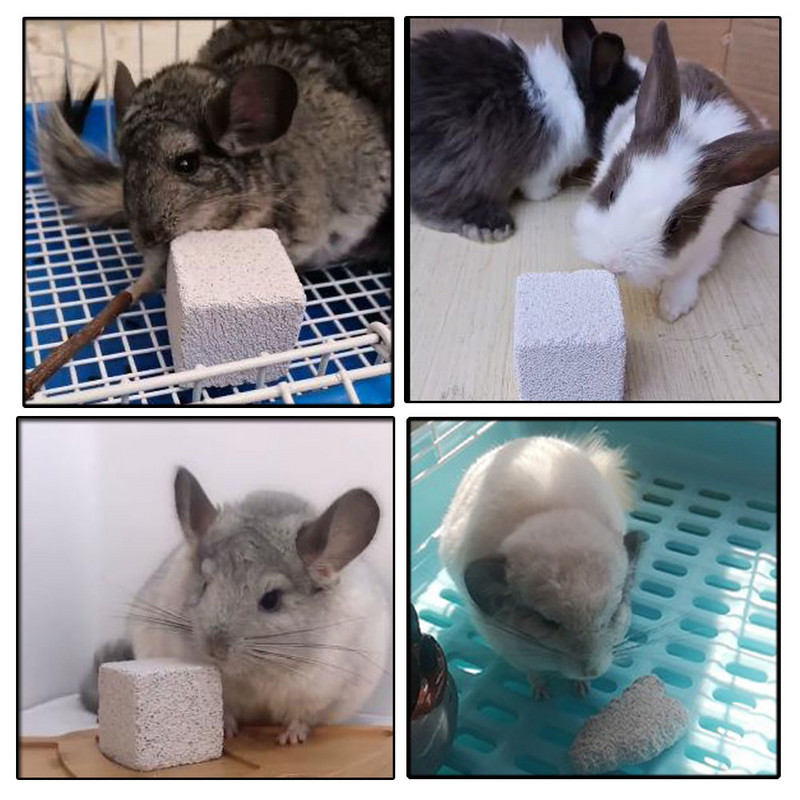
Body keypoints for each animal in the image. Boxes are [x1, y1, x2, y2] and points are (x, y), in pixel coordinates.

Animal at [84, 467, 390, 745]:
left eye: (271, 599)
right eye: (205, 584)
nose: (214, 649)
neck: (256, 674)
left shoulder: (324, 691)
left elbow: (302, 716)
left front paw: (291, 738)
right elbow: (226, 709)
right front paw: (227, 729)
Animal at [410, 18, 641, 241]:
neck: (579, 98)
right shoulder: (545, 164)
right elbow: (536, 187)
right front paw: (550, 192)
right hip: (461, 161)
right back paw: (491, 226)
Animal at [438, 434, 644, 698]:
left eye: (613, 614)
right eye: (547, 622)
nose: (593, 671)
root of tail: (524, 440)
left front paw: (582, 688)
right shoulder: (513, 652)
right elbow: (532, 672)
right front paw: (541, 694)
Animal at [574, 21, 780, 321]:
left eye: (675, 226)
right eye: (611, 193)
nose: (613, 264)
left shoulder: (708, 244)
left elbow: (689, 272)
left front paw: (672, 308)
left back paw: (771, 223)